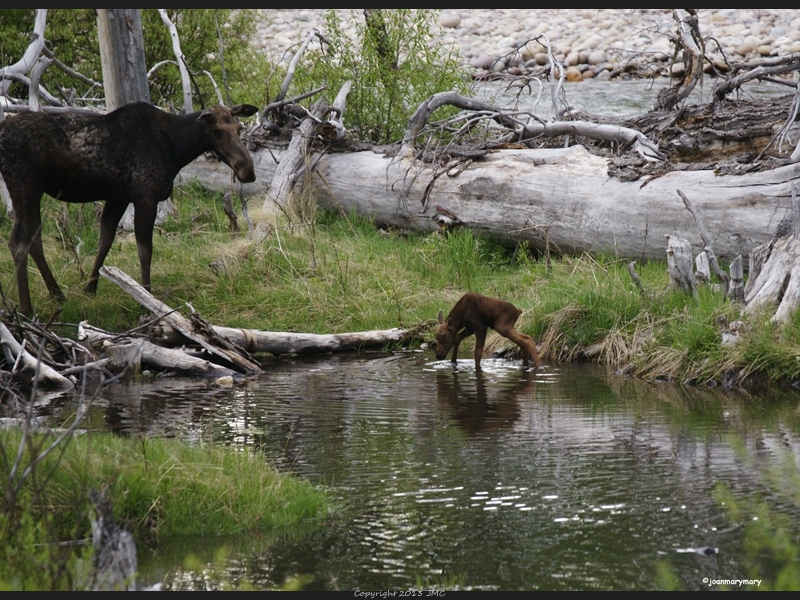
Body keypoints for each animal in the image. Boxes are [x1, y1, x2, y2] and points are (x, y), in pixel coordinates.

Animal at [0, 102, 256, 318]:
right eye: (217, 131)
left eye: (238, 127)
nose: (247, 170)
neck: (177, 149)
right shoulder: (145, 197)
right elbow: (145, 250)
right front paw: (146, 297)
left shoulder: (118, 197)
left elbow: (105, 240)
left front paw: (90, 287)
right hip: (25, 186)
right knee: (18, 242)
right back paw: (27, 309)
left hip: (33, 192)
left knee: (33, 238)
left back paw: (57, 295)